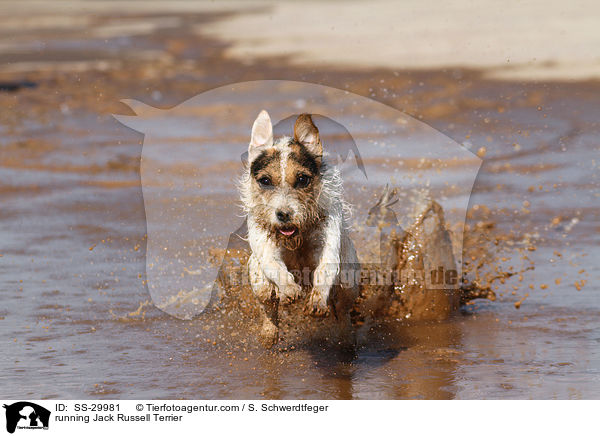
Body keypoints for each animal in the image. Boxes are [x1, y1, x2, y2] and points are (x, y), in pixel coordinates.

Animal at [238, 111, 358, 348]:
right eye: (265, 180)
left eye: (302, 179)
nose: (283, 215)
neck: (297, 237)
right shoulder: (266, 248)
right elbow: (275, 266)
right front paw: (290, 290)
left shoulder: (328, 244)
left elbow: (324, 270)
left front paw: (317, 301)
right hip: (257, 278)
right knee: (268, 305)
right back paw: (269, 331)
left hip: (349, 281)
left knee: (343, 310)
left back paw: (346, 337)